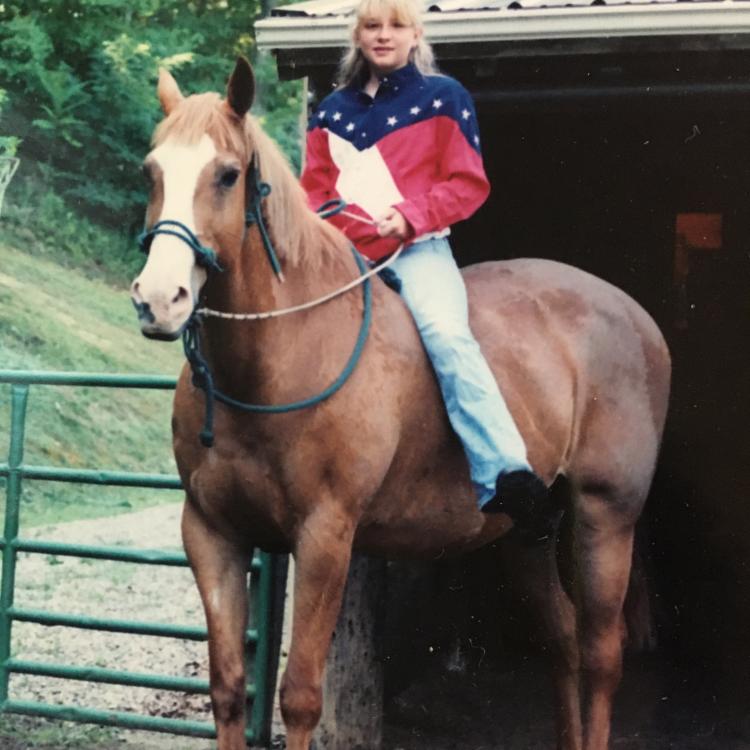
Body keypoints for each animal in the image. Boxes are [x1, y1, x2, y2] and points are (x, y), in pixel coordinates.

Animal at [131, 58, 676, 750]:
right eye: (151, 170)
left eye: (227, 174)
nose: (158, 299)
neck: (281, 355)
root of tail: (636, 318)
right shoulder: (210, 533)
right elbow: (228, 690)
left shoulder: (326, 536)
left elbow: (300, 695)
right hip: (529, 529)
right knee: (563, 642)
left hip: (607, 515)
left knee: (602, 654)